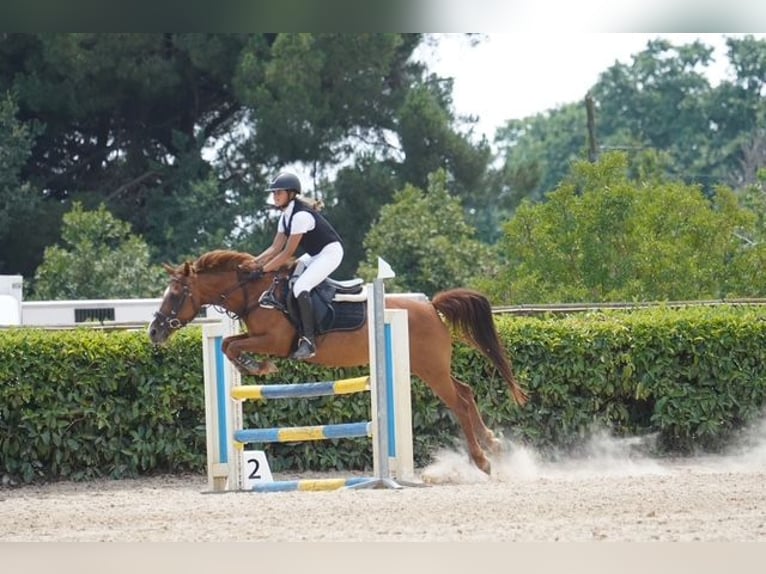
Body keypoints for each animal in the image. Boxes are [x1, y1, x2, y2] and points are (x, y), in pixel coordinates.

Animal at [148, 249, 528, 474]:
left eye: (176, 294)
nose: (154, 331)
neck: (255, 294)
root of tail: (431, 307)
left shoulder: (274, 341)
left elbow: (230, 345)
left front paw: (259, 367)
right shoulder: (258, 338)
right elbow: (228, 343)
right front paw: (252, 368)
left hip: (431, 370)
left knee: (459, 403)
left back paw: (483, 460)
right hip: (427, 368)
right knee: (465, 392)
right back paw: (493, 443)